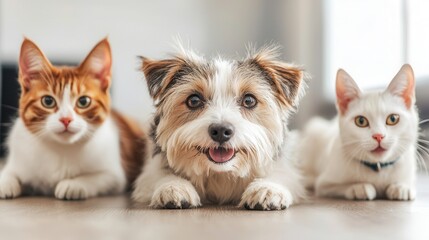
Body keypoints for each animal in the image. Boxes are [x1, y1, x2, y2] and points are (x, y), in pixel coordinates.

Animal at [0, 38, 145, 200]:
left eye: (83, 101)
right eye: (48, 101)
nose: (66, 119)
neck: (61, 148)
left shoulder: (116, 176)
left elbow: (100, 177)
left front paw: (73, 184)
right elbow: (8, 172)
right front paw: (6, 182)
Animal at [298, 64, 418, 201]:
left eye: (393, 119)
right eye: (361, 121)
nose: (378, 136)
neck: (378, 169)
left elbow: (407, 182)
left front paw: (401, 187)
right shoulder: (324, 184)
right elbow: (336, 187)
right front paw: (359, 187)